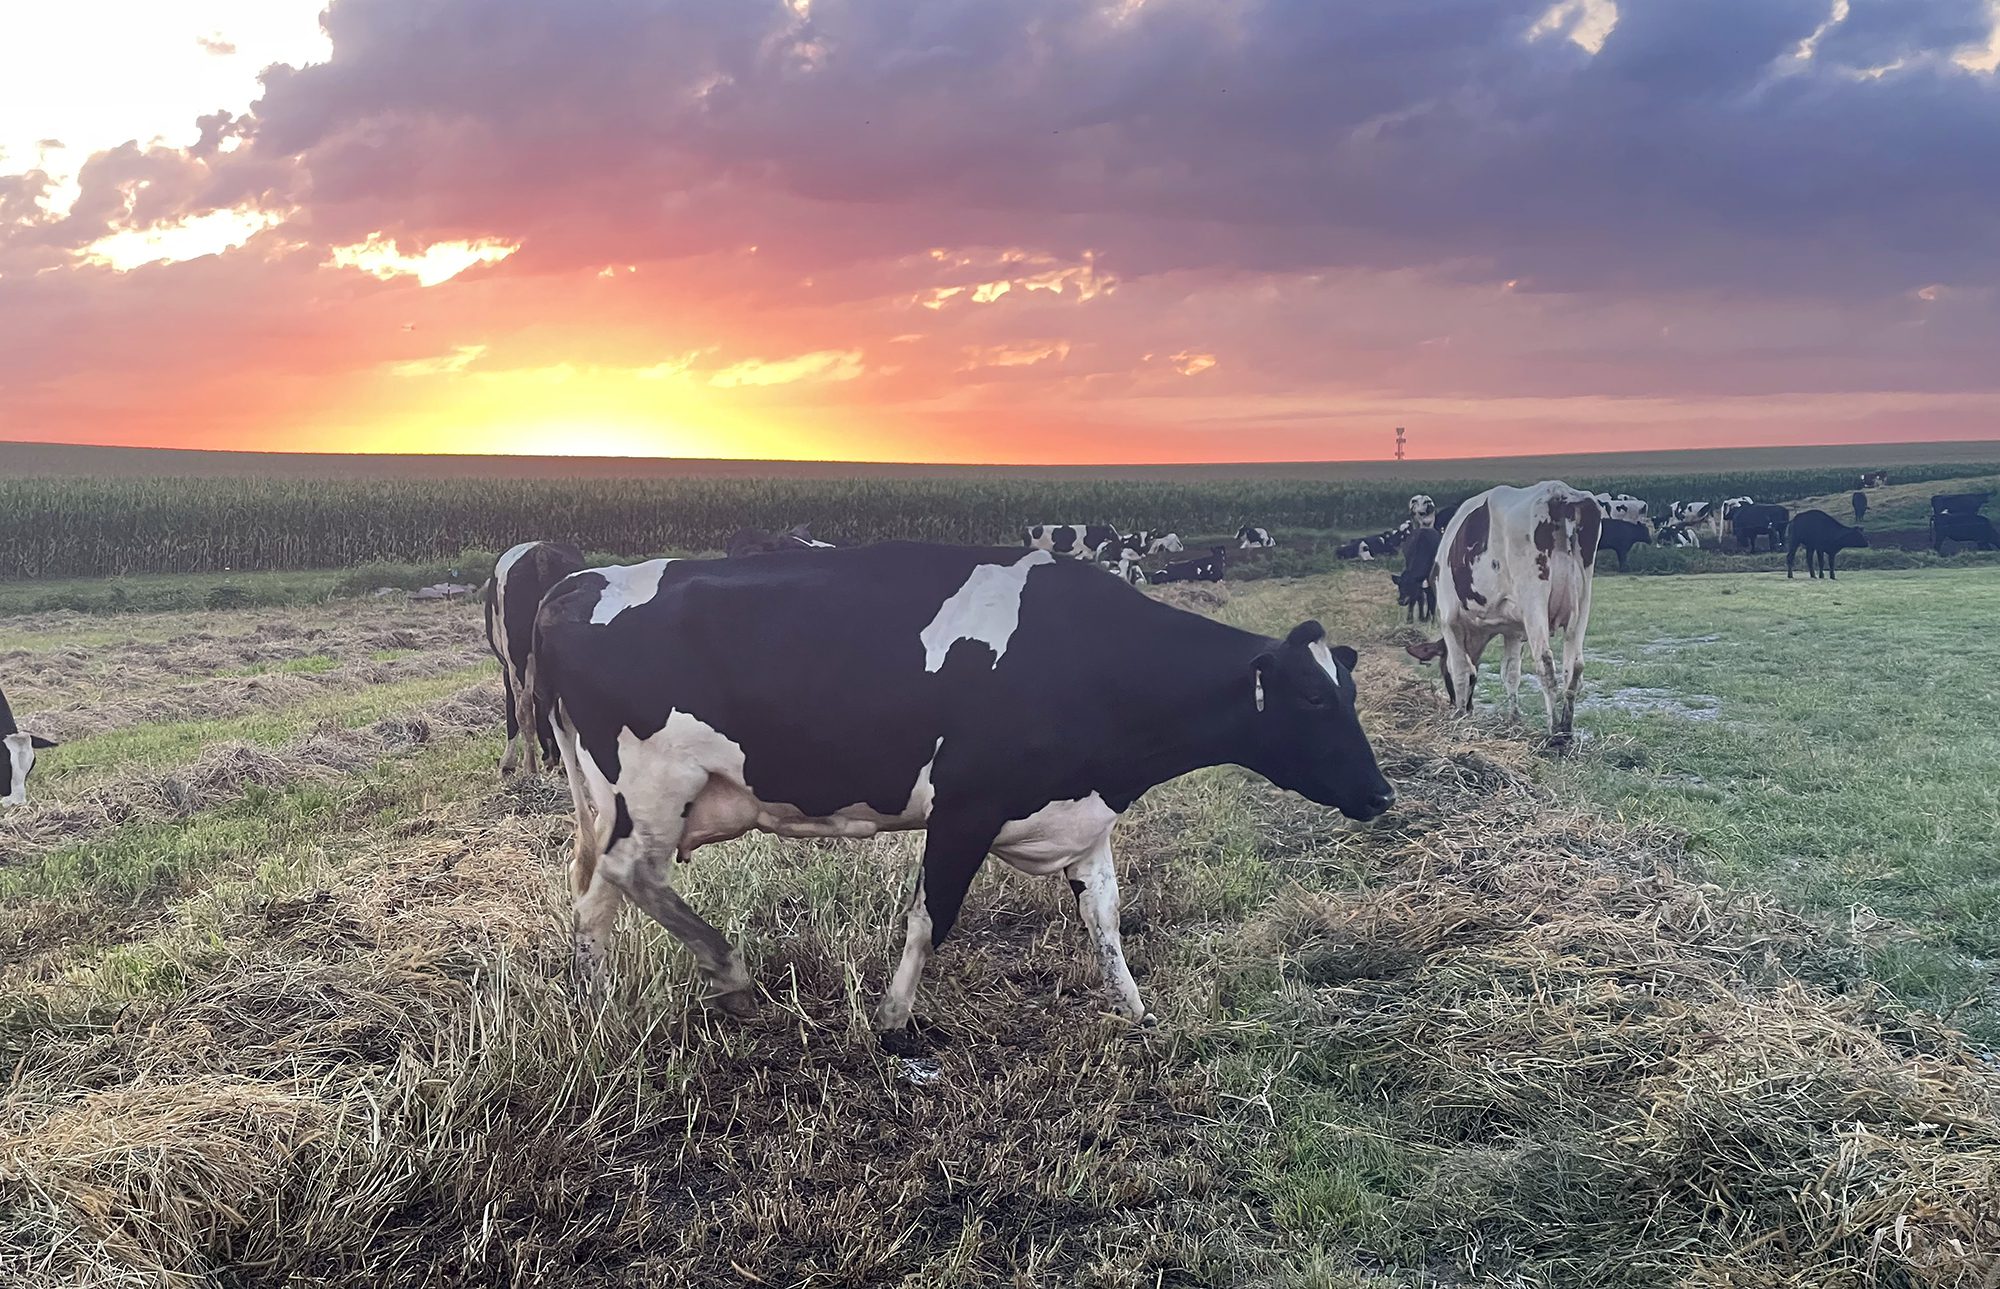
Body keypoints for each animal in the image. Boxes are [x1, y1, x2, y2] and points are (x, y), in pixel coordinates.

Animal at [484, 544, 584, 776]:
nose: (550, 757)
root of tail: (541, 553)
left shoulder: (507, 668)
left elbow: (512, 711)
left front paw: (508, 763)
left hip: (517, 657)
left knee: (524, 708)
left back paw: (530, 768)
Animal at [528, 544, 1392, 1024]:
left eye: (1349, 691)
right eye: (1313, 699)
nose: (1382, 794)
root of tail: (575, 584)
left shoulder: (1083, 814)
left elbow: (1108, 924)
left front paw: (1140, 1014)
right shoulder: (966, 806)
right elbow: (929, 917)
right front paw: (891, 1018)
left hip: (609, 796)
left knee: (592, 894)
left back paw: (598, 1007)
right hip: (653, 782)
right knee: (631, 872)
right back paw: (730, 972)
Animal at [1400, 480, 1600, 744]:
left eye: (1443, 672)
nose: (1458, 705)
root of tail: (1559, 492)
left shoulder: (1449, 621)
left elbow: (1462, 669)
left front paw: (1460, 716)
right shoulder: (1513, 631)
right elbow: (1510, 673)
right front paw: (1514, 719)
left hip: (1533, 598)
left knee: (1545, 662)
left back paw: (1555, 732)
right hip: (1582, 602)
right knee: (1574, 666)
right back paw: (1566, 729)